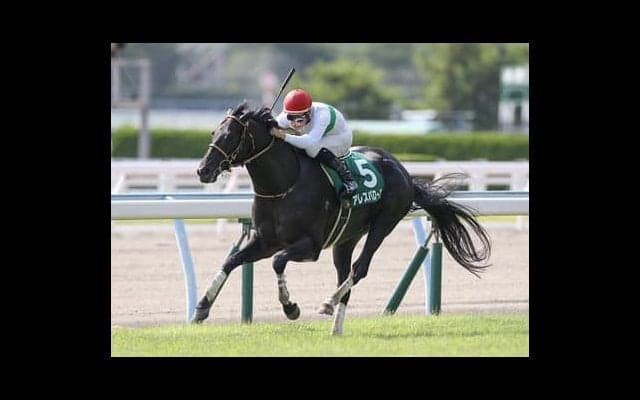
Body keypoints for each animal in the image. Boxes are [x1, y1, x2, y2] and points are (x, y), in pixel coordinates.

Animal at [194, 101, 491, 335]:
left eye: (231, 135)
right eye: (213, 132)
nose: (203, 170)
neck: (283, 186)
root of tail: (405, 172)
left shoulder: (309, 246)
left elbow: (278, 262)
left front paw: (291, 307)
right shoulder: (265, 241)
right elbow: (231, 260)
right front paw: (201, 307)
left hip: (383, 224)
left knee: (358, 270)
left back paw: (328, 302)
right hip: (346, 238)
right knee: (344, 273)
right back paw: (336, 328)